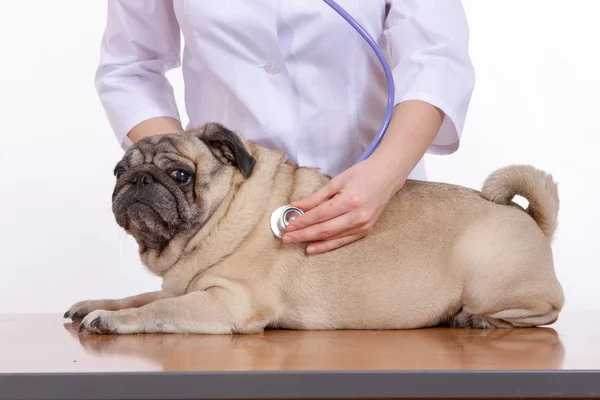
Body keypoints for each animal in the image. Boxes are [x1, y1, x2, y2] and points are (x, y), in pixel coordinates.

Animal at [63, 122, 564, 334]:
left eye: (180, 175)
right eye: (118, 172)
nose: (137, 181)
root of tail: (531, 219)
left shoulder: (227, 304)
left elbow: (156, 309)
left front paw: (108, 319)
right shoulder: (182, 287)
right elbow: (141, 295)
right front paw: (96, 303)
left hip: (491, 275)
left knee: (544, 312)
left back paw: (475, 319)